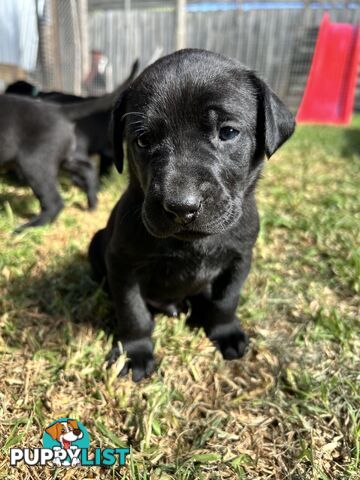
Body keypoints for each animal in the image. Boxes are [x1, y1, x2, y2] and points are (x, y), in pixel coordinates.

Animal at [88, 47, 296, 378]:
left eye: (228, 132)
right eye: (143, 140)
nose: (181, 206)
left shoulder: (240, 257)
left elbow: (226, 300)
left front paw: (225, 332)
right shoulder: (122, 263)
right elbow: (133, 312)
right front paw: (135, 352)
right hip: (97, 243)